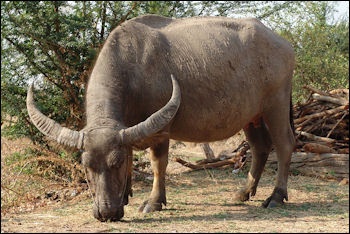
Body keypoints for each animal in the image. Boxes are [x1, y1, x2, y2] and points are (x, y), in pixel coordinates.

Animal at [26, 14, 296, 221]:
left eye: (115, 164)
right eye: (87, 166)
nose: (106, 213)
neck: (134, 69)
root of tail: (283, 43)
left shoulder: (160, 130)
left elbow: (158, 164)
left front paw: (154, 202)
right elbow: (133, 155)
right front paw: (126, 194)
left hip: (276, 105)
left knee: (284, 145)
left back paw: (276, 196)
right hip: (252, 116)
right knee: (260, 147)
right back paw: (244, 192)